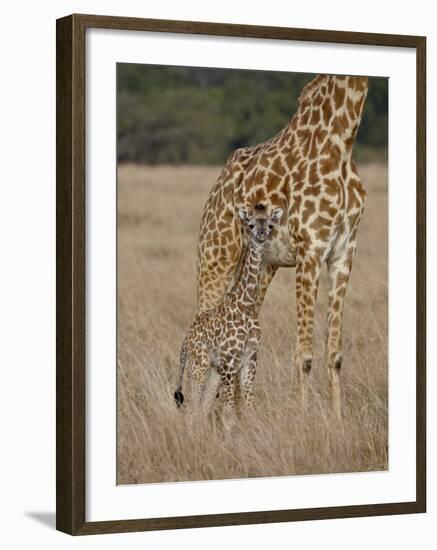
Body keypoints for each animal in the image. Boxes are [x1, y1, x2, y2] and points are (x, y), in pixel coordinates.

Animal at [174, 205, 282, 430]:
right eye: (250, 224)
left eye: (270, 225)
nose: (261, 234)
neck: (246, 306)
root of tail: (187, 338)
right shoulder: (230, 362)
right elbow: (229, 412)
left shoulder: (250, 358)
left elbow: (249, 408)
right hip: (199, 364)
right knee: (192, 406)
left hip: (214, 369)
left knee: (202, 407)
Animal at [196, 73, 366, 418]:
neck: (343, 141)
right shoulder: (310, 249)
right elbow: (304, 354)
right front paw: (303, 419)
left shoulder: (344, 252)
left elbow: (335, 353)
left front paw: (337, 421)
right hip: (215, 257)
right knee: (199, 328)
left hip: (262, 267)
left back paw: (233, 415)